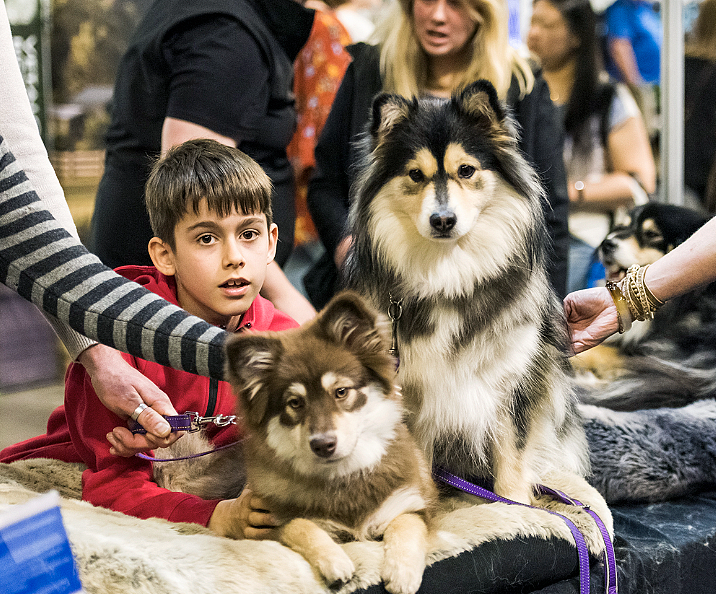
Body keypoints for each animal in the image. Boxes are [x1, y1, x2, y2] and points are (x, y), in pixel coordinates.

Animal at [155, 292, 436, 592]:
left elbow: (407, 526)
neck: (342, 478)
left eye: (341, 392)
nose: (323, 444)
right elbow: (299, 525)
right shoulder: (266, 518)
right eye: (295, 403)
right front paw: (334, 560)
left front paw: (402, 572)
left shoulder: (410, 503)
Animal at [346, 80, 588, 504]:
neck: (449, 275)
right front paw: (424, 508)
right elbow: (418, 463)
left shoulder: (514, 382)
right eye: (415, 175)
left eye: (466, 170)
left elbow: (512, 455)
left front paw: (516, 505)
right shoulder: (410, 393)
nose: (442, 220)